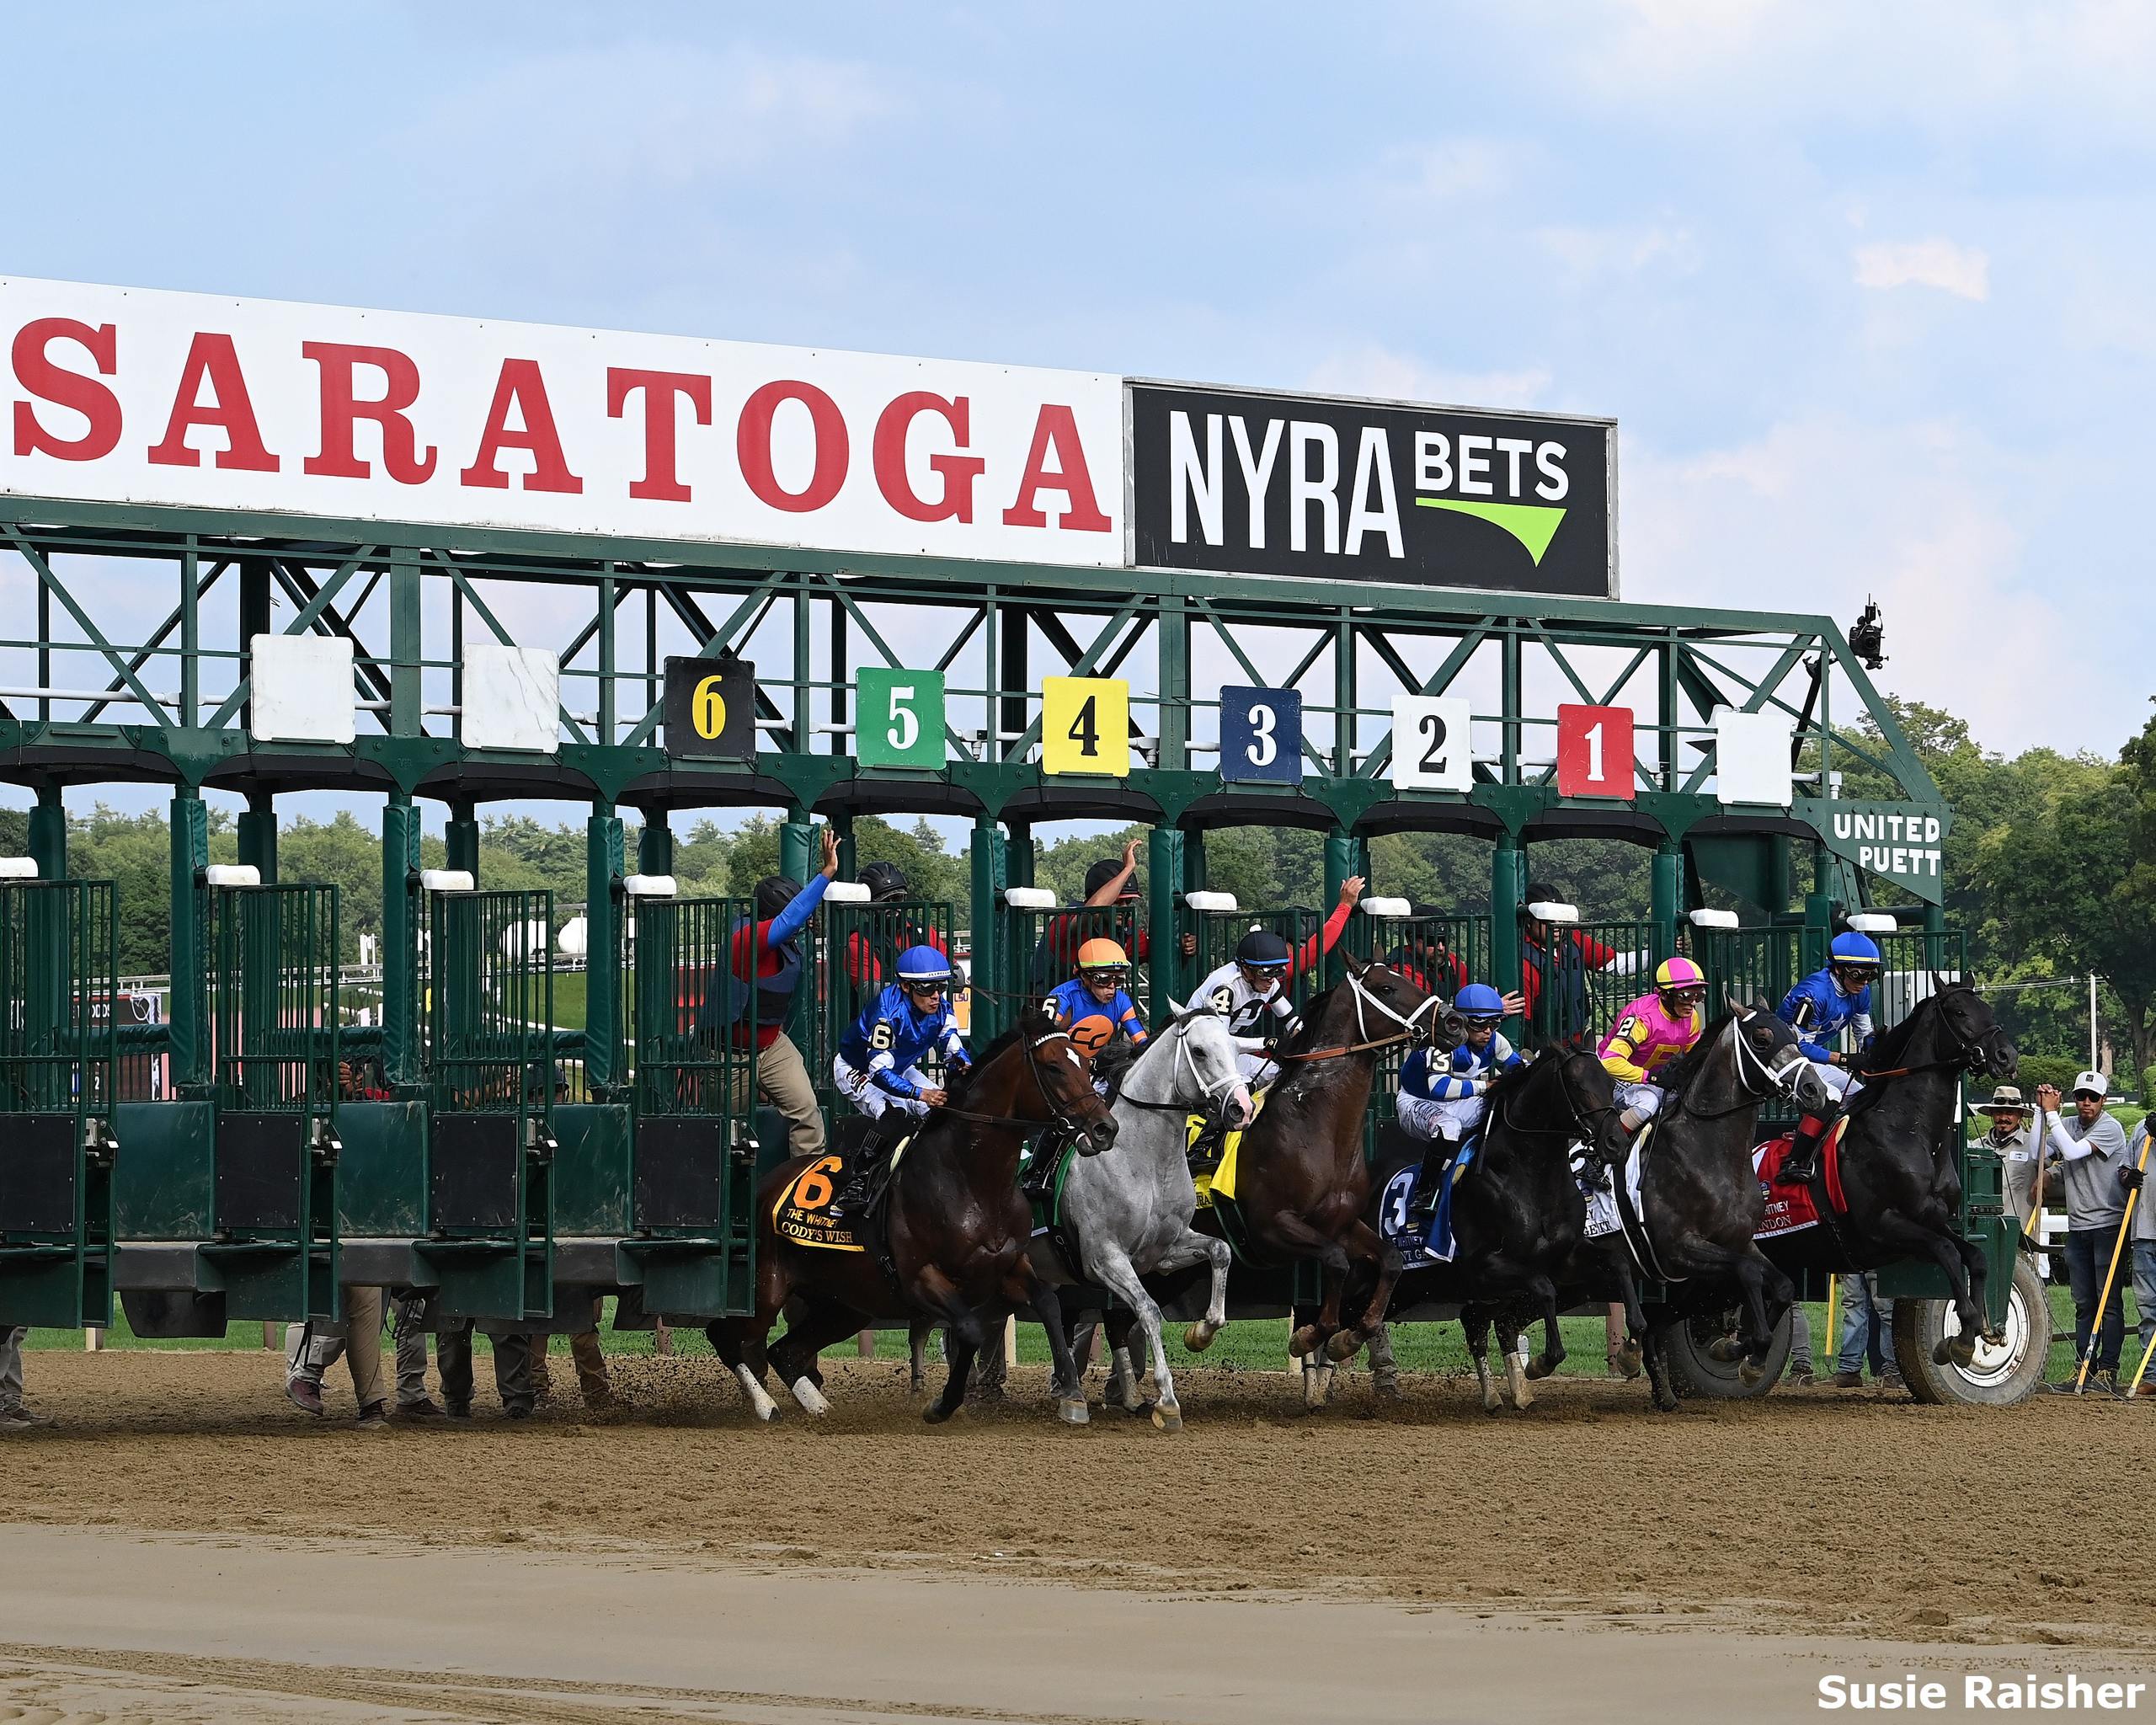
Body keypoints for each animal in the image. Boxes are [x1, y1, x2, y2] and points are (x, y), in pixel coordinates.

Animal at [711, 1004, 1121, 1423]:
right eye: (1054, 1067)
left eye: (1086, 1062)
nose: (1105, 1128)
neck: (972, 1179)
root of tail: (764, 1186)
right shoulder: (920, 1278)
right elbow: (970, 1330)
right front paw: (942, 1404)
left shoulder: (1009, 1265)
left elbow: (1049, 1306)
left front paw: (1073, 1396)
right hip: (767, 1288)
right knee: (727, 1336)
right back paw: (766, 1406)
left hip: (844, 1303)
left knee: (785, 1352)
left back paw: (819, 1407)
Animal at [1026, 1009, 1250, 1431]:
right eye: (1199, 1051)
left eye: (1234, 1047)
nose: (1242, 1108)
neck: (1143, 1161)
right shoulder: (1103, 1258)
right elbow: (1148, 1310)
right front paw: (1168, 1401)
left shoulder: (1162, 1251)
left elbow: (1220, 1251)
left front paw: (1200, 1333)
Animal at [1225, 948, 1440, 1371]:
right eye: (1387, 987)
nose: (1454, 1020)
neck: (1314, 1125)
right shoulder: (1271, 1226)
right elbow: (1337, 1262)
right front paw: (1311, 1335)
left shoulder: (1340, 1221)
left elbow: (1391, 1259)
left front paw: (1352, 1334)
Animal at [1758, 983, 2009, 1362]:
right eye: (1959, 1012)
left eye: (1989, 1010)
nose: (2007, 1056)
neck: (1910, 1131)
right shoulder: (1882, 1225)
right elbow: (1948, 1253)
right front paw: (1961, 1337)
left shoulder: (1933, 1219)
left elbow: (1976, 1257)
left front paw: (1977, 1332)